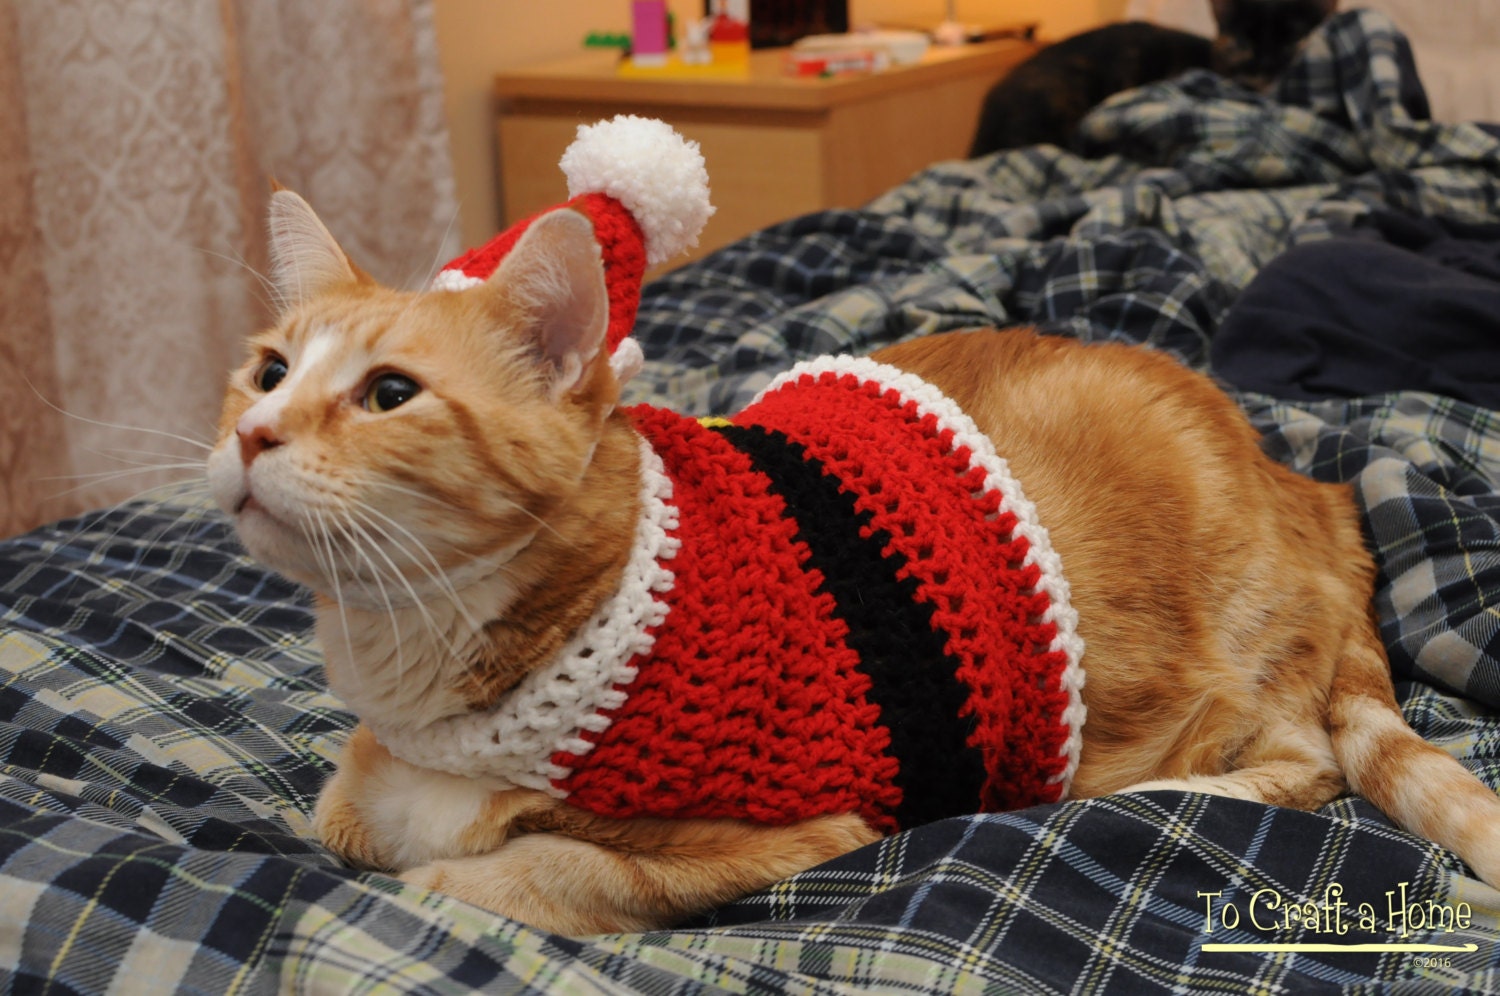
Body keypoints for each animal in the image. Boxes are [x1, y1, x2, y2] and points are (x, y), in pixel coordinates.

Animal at [208, 190, 1500, 936]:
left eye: (389, 394)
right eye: (267, 371)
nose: (252, 433)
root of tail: (1319, 487)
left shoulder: (800, 828)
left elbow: (556, 876)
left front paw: (452, 883)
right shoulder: (355, 786)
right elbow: (336, 815)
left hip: (1220, 675)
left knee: (1297, 768)